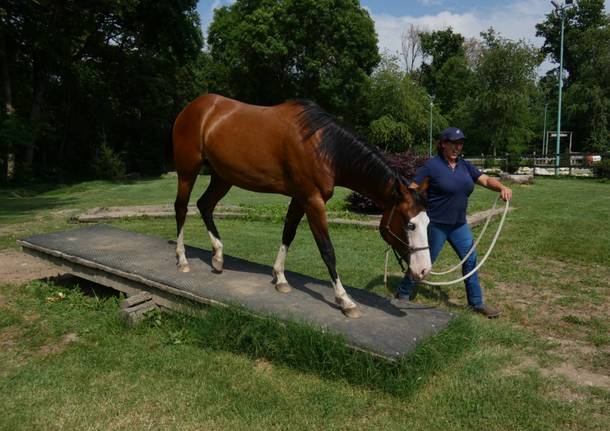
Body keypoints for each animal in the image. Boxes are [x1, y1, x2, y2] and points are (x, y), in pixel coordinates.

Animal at [171, 94, 430, 318]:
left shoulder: (299, 198)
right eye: (410, 224)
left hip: (223, 177)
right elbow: (327, 250)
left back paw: (217, 256)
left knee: (204, 205)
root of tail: (195, 106)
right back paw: (182, 260)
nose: (424, 270)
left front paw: (280, 278)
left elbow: (288, 233)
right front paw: (344, 300)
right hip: (188, 171)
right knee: (181, 208)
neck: (324, 147)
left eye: (428, 222)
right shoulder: (313, 200)